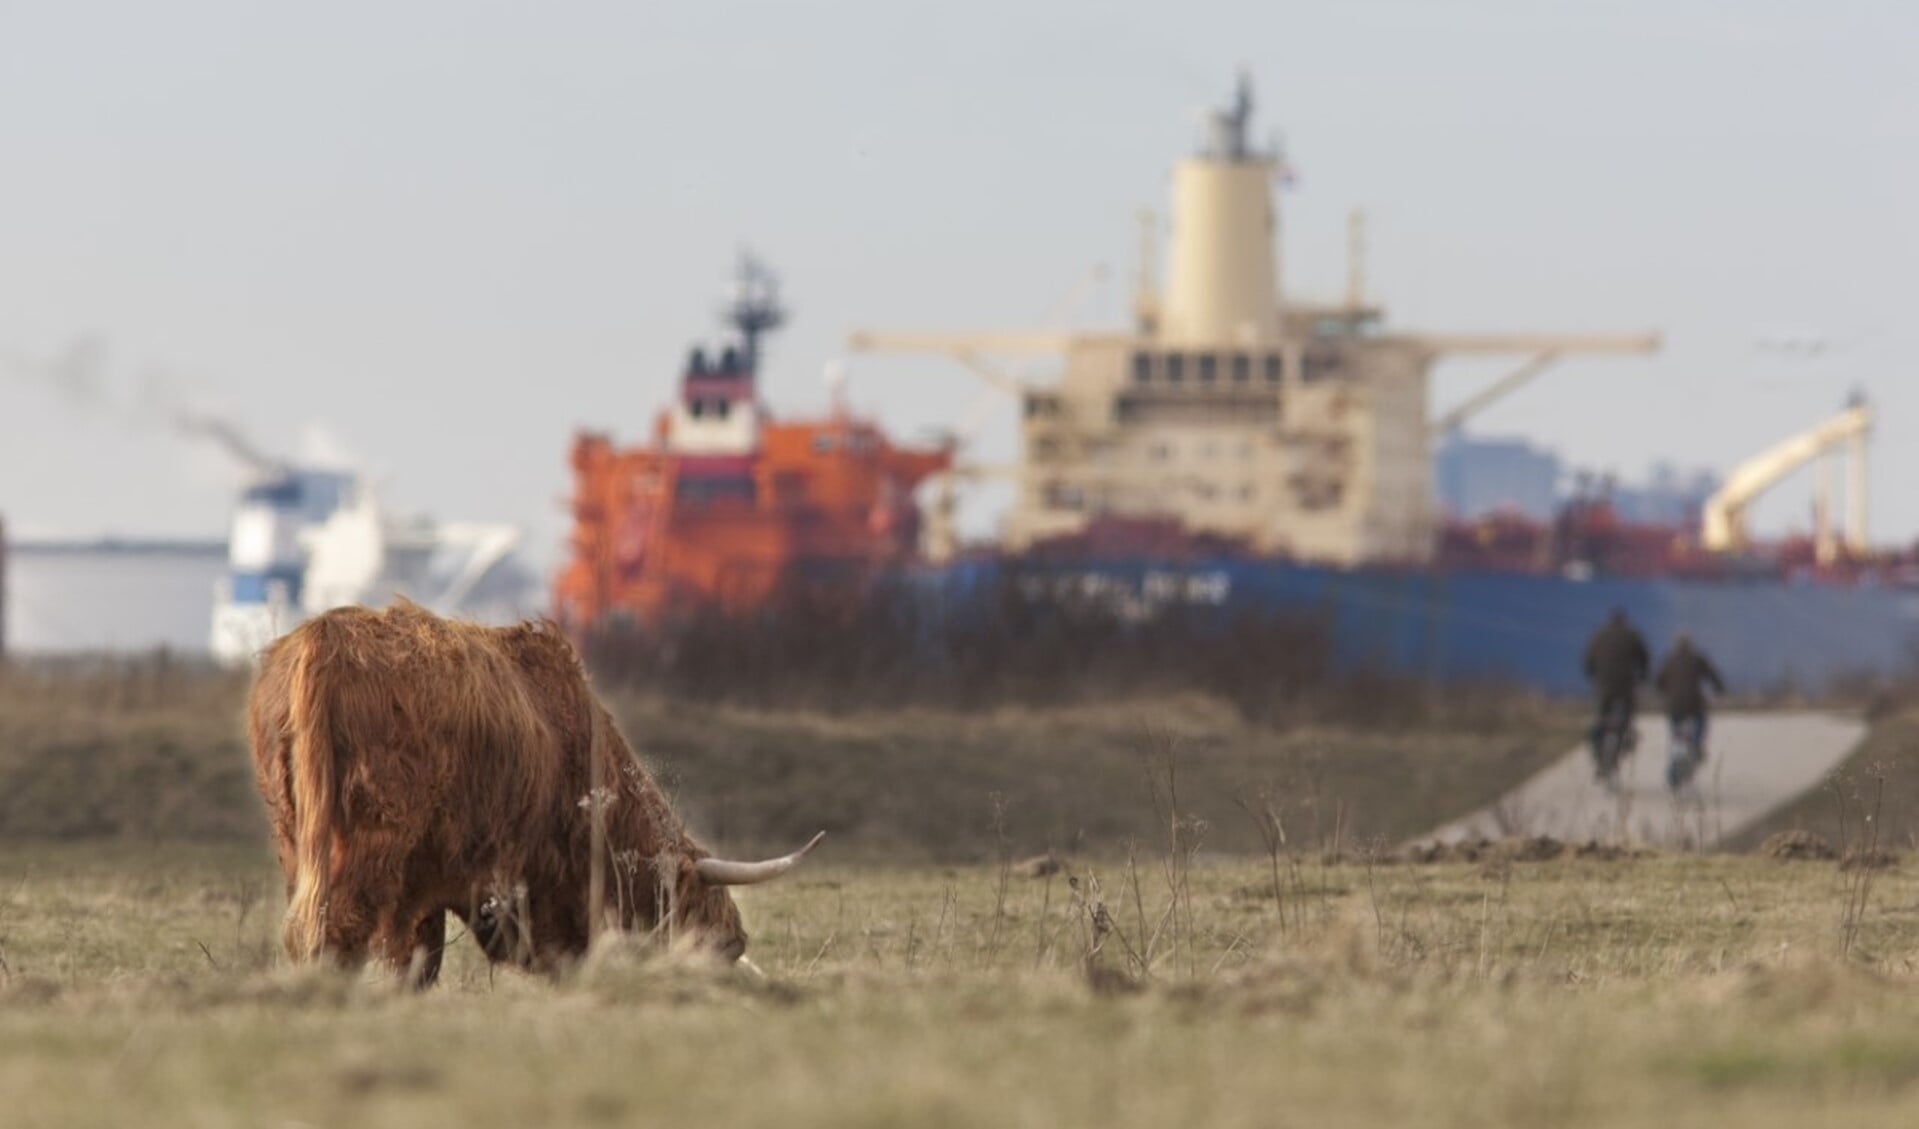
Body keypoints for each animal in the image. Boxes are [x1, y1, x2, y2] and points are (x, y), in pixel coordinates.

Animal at [247, 602, 817, 983]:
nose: (734, 943)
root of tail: (323, 639)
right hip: (370, 844)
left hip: (295, 837)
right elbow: (415, 958)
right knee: (335, 929)